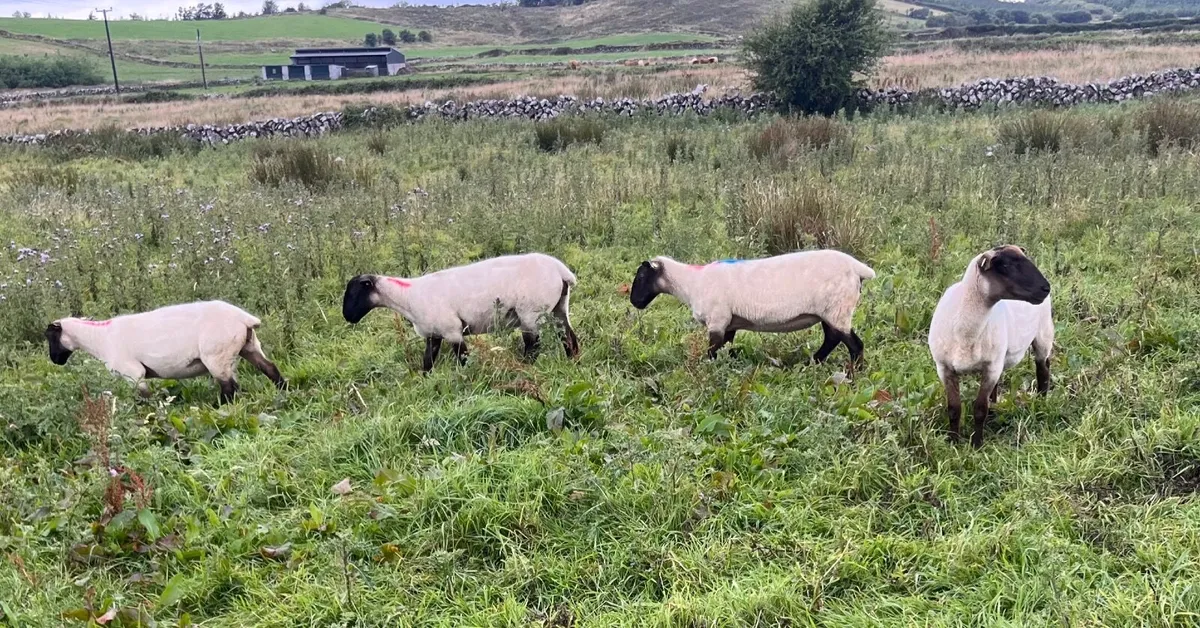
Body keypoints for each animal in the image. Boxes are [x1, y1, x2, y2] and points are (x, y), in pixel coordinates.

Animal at [45, 300, 286, 404]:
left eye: (49, 336)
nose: (54, 360)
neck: (99, 338)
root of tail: (245, 319)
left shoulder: (133, 374)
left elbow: (145, 398)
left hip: (217, 356)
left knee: (229, 387)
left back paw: (220, 408)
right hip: (249, 346)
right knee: (270, 369)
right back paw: (284, 392)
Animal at [342, 252, 580, 371]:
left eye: (354, 293)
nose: (347, 317)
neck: (407, 297)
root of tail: (562, 272)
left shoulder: (452, 330)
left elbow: (463, 358)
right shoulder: (434, 334)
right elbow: (428, 360)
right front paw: (425, 379)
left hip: (530, 312)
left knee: (533, 345)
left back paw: (525, 365)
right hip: (559, 307)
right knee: (568, 336)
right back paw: (573, 361)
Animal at [629, 250, 875, 363]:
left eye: (640, 276)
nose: (634, 302)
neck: (691, 283)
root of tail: (858, 268)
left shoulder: (717, 320)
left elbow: (712, 351)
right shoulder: (729, 323)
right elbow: (725, 348)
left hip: (838, 309)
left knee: (854, 345)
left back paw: (852, 375)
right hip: (831, 311)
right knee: (833, 338)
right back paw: (813, 362)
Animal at [928, 245, 1053, 448]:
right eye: (1005, 265)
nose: (1045, 288)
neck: (965, 332)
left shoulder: (990, 367)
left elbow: (980, 409)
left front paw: (977, 444)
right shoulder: (945, 368)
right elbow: (954, 409)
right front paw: (953, 442)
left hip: (1044, 332)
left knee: (1043, 369)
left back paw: (1042, 402)